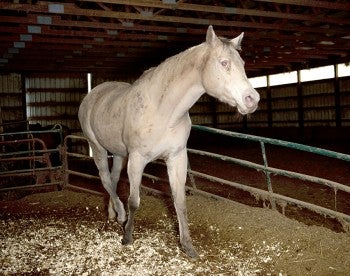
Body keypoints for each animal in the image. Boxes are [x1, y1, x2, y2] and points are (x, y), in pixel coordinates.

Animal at [79, 24, 260, 258]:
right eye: (224, 63)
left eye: (243, 64)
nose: (252, 100)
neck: (163, 110)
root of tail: (92, 96)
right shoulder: (137, 159)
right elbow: (134, 201)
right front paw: (127, 238)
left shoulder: (176, 157)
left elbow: (179, 202)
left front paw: (188, 247)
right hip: (98, 148)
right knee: (105, 179)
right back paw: (120, 214)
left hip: (119, 154)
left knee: (113, 178)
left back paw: (114, 214)